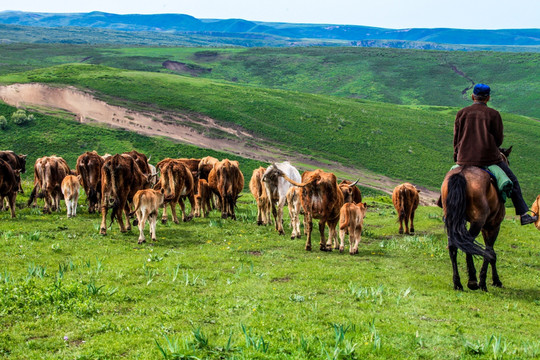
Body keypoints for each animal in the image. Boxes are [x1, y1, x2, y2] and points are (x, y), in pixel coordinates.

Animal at [438, 148, 510, 292]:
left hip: (450, 220)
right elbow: (490, 252)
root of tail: (461, 174)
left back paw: (458, 283)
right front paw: (491, 281)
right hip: (478, 222)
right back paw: (473, 281)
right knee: (468, 244)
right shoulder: (493, 226)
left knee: (453, 246)